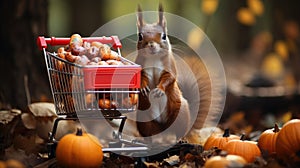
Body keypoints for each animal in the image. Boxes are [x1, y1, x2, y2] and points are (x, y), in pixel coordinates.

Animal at [135, 4, 191, 139]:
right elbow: (140, 77)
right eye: (140, 36)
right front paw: (143, 86)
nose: (151, 45)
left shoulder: (169, 66)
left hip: (180, 114)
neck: (154, 58)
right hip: (143, 118)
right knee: (148, 134)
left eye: (164, 36)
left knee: (179, 131)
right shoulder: (141, 67)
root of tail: (163, 128)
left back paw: (180, 140)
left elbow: (169, 77)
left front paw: (159, 89)